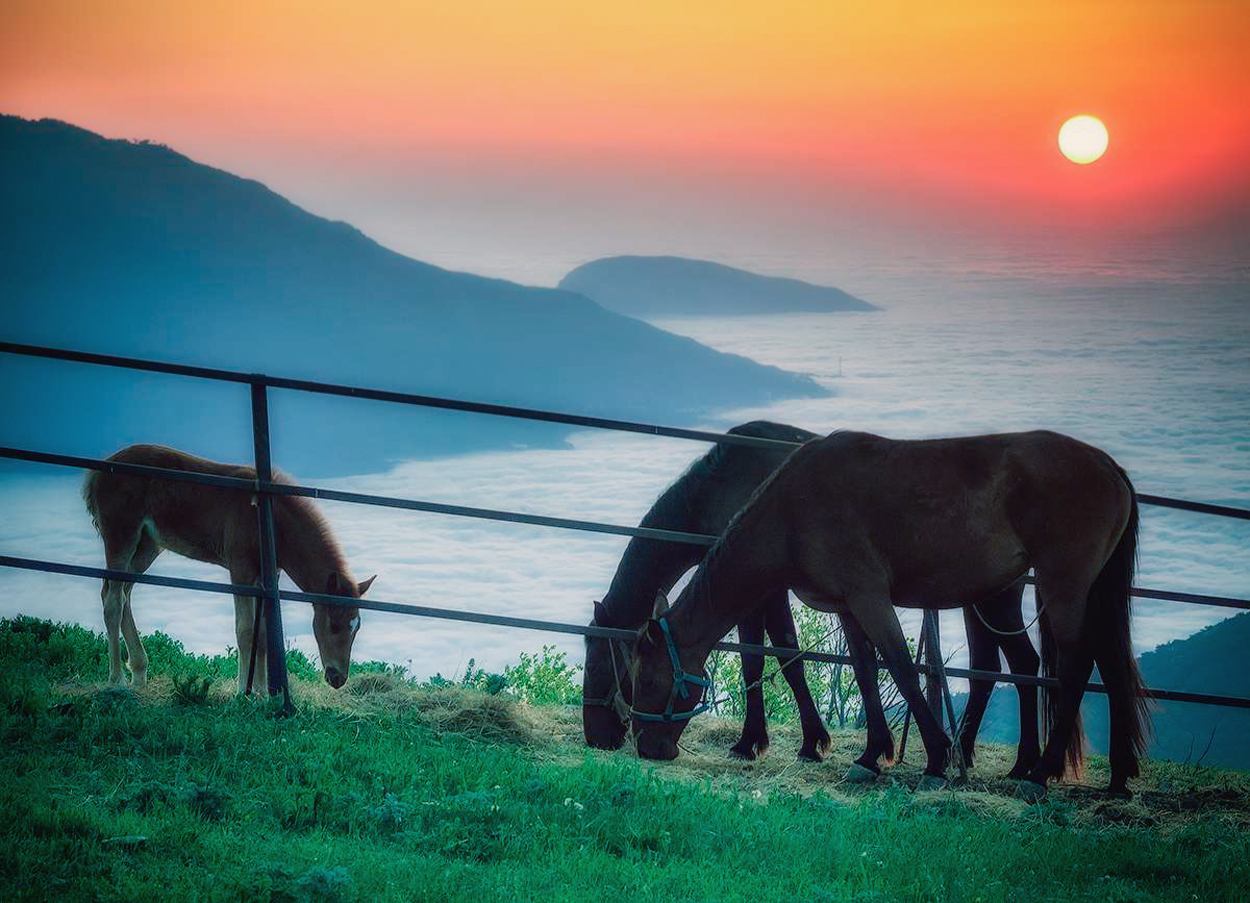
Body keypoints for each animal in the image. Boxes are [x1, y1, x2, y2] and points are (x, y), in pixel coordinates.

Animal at [81, 442, 375, 690]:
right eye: (334, 625)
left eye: (357, 627)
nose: (337, 678)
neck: (270, 517)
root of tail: (99, 470)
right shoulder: (241, 571)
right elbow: (245, 631)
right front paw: (242, 691)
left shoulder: (265, 578)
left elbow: (263, 635)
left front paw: (260, 692)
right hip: (121, 536)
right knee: (113, 602)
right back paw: (117, 678)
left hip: (147, 545)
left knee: (122, 594)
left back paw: (139, 673)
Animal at [590, 417, 1050, 775]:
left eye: (598, 661)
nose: (598, 736)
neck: (721, 487)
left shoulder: (765, 592)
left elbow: (775, 657)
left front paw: (776, 741)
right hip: (982, 600)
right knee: (989, 668)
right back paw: (967, 752)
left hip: (995, 602)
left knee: (1022, 666)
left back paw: (1017, 763)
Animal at [630, 430, 1145, 795]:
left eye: (649, 679)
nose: (646, 747)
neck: (794, 506)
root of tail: (1109, 466)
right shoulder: (848, 606)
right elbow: (864, 670)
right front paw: (871, 755)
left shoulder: (871, 598)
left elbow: (899, 667)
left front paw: (935, 758)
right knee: (1103, 666)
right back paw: (1109, 777)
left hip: (1064, 589)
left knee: (1075, 668)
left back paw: (1041, 771)